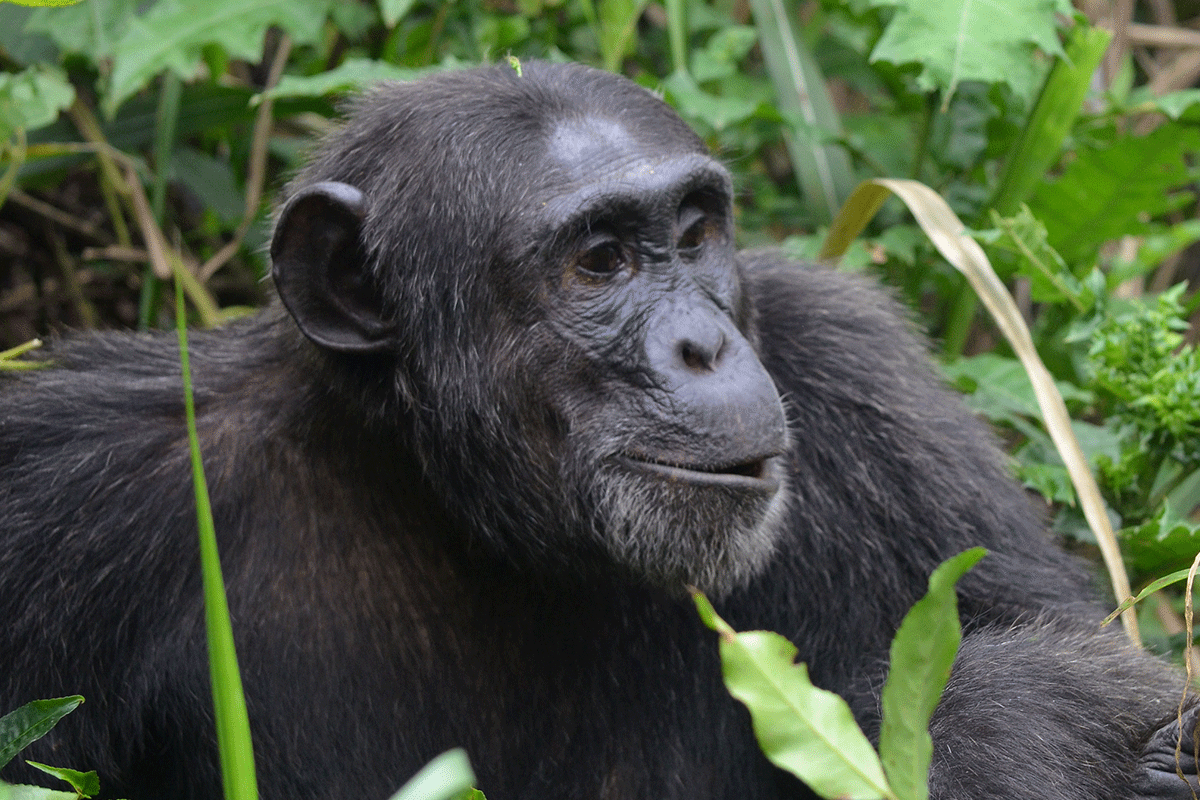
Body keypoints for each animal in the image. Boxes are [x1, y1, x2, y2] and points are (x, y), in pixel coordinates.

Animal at [0, 60, 1195, 800]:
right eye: (602, 261)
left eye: (694, 232)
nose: (704, 344)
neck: (471, 516)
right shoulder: (65, 481)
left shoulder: (876, 404)